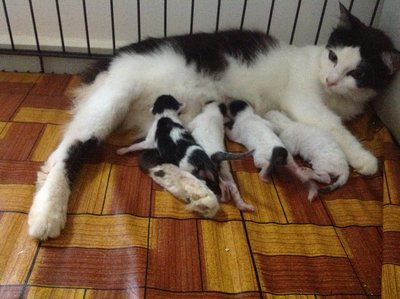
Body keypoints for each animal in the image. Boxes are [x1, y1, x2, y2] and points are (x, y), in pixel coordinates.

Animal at [26, 3, 398, 240]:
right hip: (114, 98)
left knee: (148, 158)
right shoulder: (304, 101)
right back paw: (48, 212)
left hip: (162, 127)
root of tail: (108, 59)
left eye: (358, 72)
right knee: (66, 152)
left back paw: (197, 193)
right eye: (333, 56)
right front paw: (364, 158)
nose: (331, 79)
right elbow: (333, 126)